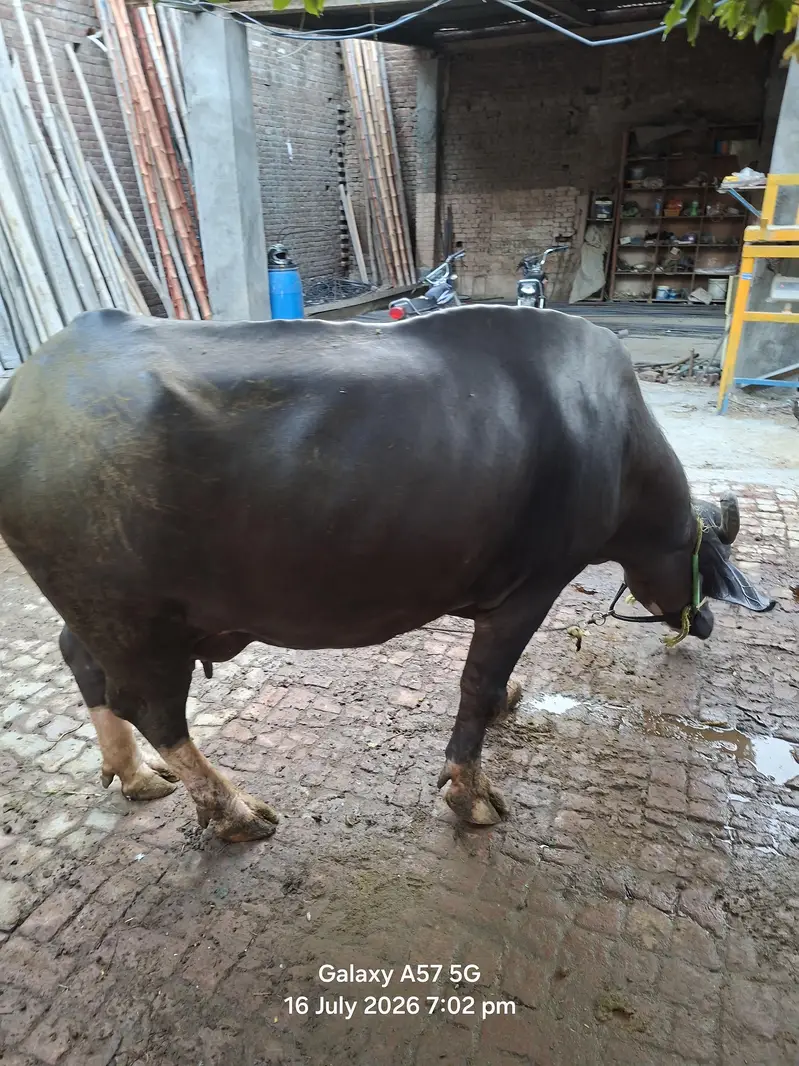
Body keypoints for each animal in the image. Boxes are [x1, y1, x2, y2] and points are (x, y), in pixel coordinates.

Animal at [0, 306, 774, 841]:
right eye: (707, 558)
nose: (705, 621)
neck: (614, 446)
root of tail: (31, 383)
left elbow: (489, 684)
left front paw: (507, 703)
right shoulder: (531, 588)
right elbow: (476, 682)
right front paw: (470, 793)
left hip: (102, 615)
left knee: (83, 663)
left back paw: (134, 776)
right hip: (137, 621)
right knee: (153, 708)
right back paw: (236, 811)